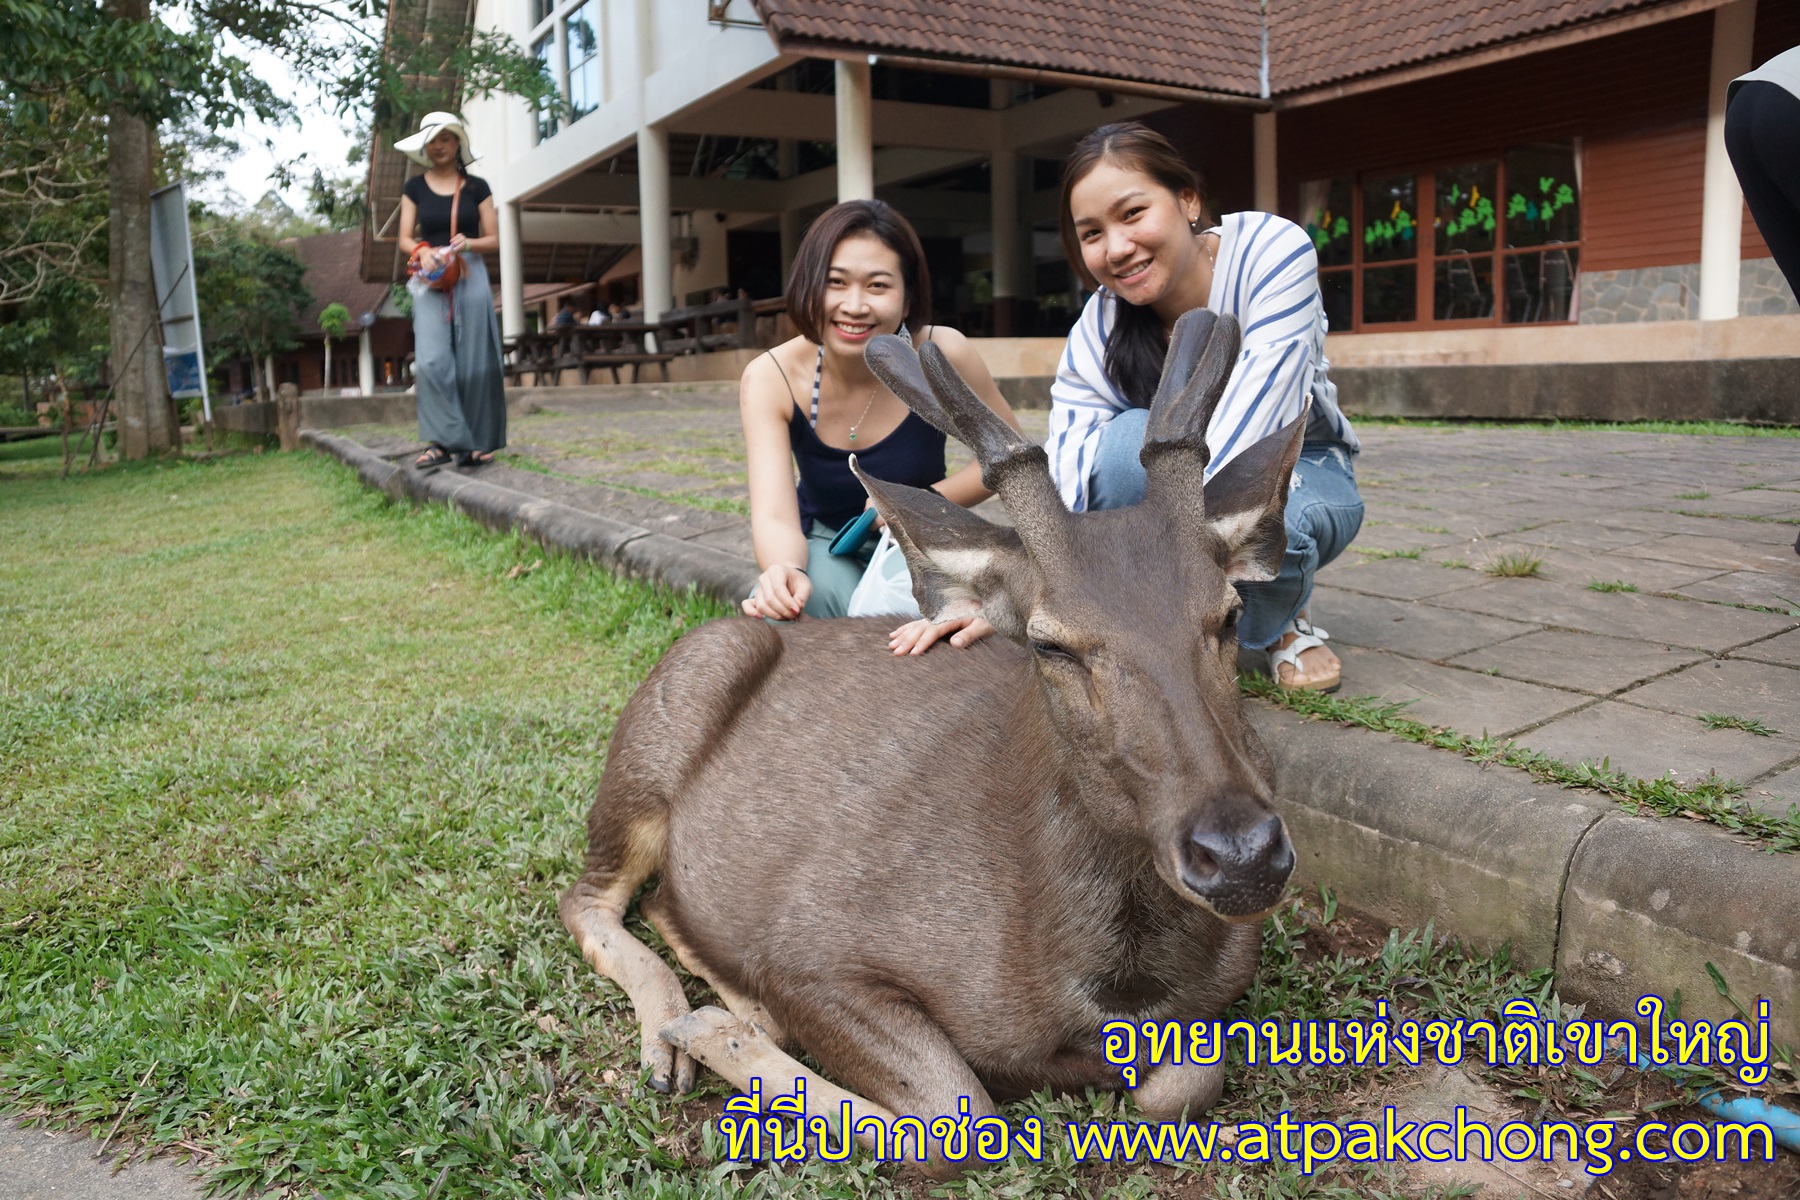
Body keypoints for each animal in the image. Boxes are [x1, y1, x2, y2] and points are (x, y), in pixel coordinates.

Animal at [554, 307, 1303, 1173]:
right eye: (1049, 643)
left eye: (1229, 614)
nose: (1241, 853)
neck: (1106, 993)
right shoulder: (812, 945)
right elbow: (959, 1118)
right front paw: (712, 1030)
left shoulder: (1223, 994)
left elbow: (1181, 1084)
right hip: (668, 722)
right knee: (589, 898)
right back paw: (675, 1037)